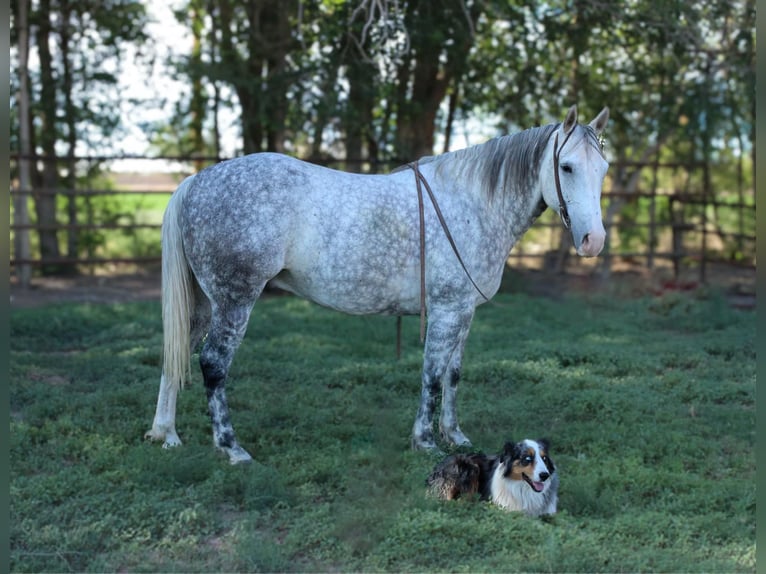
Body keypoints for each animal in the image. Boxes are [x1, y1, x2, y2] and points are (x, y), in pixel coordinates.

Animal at [145, 105, 610, 464]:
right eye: (566, 167)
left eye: (603, 168)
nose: (594, 241)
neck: (471, 205)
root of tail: (196, 182)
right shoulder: (444, 312)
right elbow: (431, 375)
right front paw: (425, 441)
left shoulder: (463, 312)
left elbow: (453, 374)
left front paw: (455, 436)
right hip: (234, 300)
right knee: (212, 363)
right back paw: (232, 448)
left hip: (205, 302)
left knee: (178, 351)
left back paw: (165, 434)